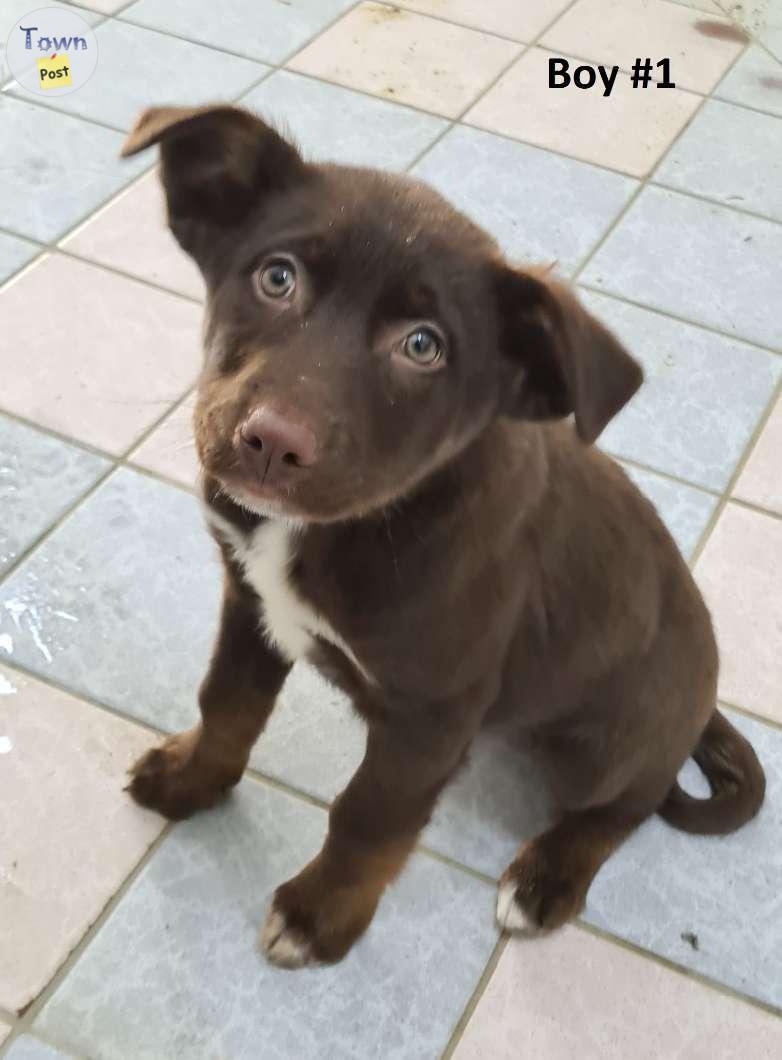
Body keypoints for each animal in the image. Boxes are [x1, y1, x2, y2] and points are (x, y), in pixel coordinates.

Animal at [120, 105, 762, 970]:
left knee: (625, 805)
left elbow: (369, 816)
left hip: (604, 743)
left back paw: (546, 879)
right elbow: (227, 703)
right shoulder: (250, 603)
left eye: (422, 346)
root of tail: (705, 697)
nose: (271, 444)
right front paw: (194, 781)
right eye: (276, 277)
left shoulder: (432, 713)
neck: (359, 523)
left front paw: (322, 915)